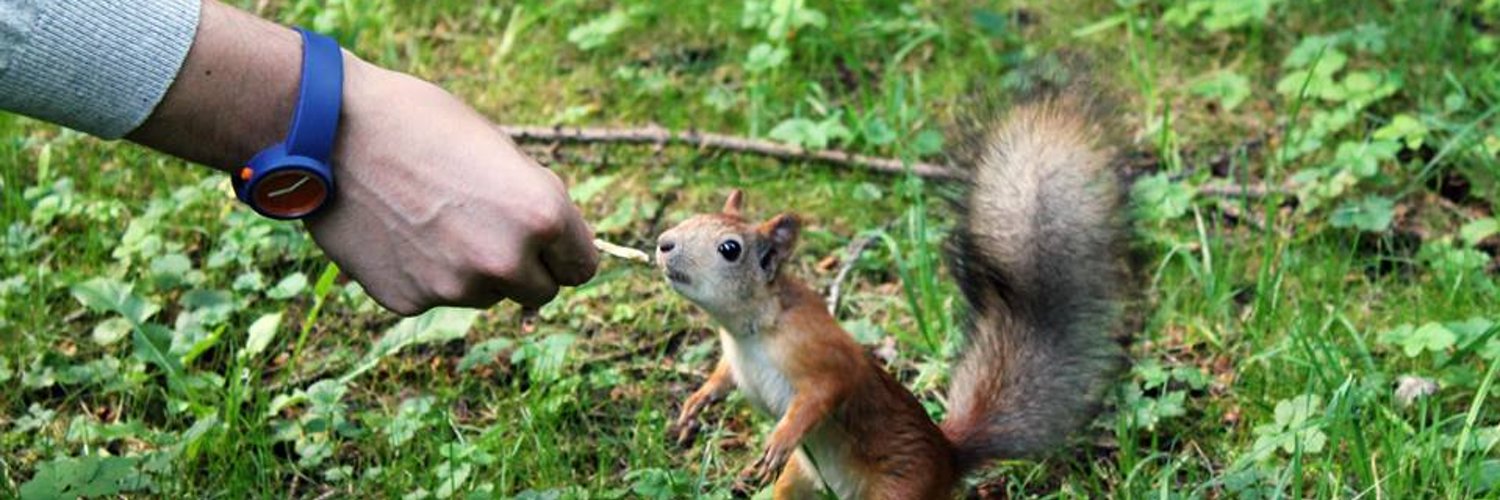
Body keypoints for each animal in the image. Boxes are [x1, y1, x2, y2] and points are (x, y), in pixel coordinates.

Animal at [653, 89, 1129, 499]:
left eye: (729, 249)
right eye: (693, 216)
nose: (663, 243)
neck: (747, 332)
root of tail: (947, 459)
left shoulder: (819, 351)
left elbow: (824, 392)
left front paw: (780, 438)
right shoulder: (736, 360)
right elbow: (723, 377)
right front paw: (697, 402)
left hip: (902, 487)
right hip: (800, 481)